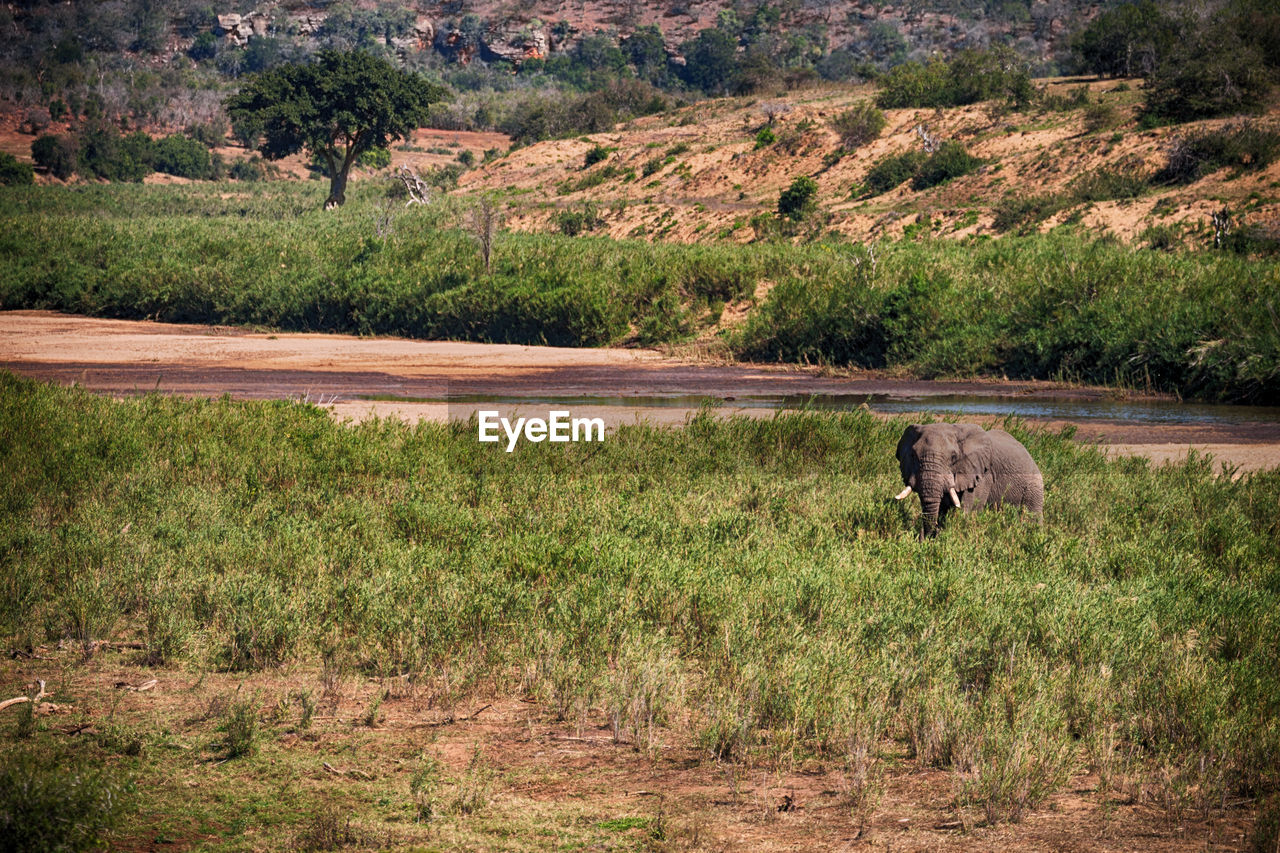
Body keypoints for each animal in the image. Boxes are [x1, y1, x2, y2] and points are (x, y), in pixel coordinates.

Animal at [896, 422, 1044, 535]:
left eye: (953, 457)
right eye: (913, 455)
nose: (926, 537)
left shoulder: (983, 473)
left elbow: (968, 510)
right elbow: (942, 508)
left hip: (1033, 488)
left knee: (1032, 516)